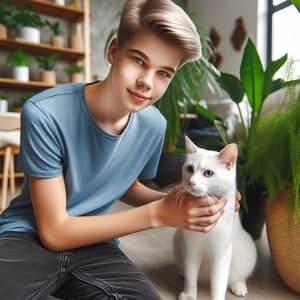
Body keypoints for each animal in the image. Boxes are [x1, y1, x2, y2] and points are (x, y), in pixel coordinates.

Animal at [175, 137, 256, 300]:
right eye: (189, 169)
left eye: (208, 173)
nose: (191, 182)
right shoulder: (191, 249)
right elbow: (190, 276)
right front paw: (189, 295)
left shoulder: (221, 254)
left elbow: (219, 283)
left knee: (238, 275)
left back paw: (239, 286)